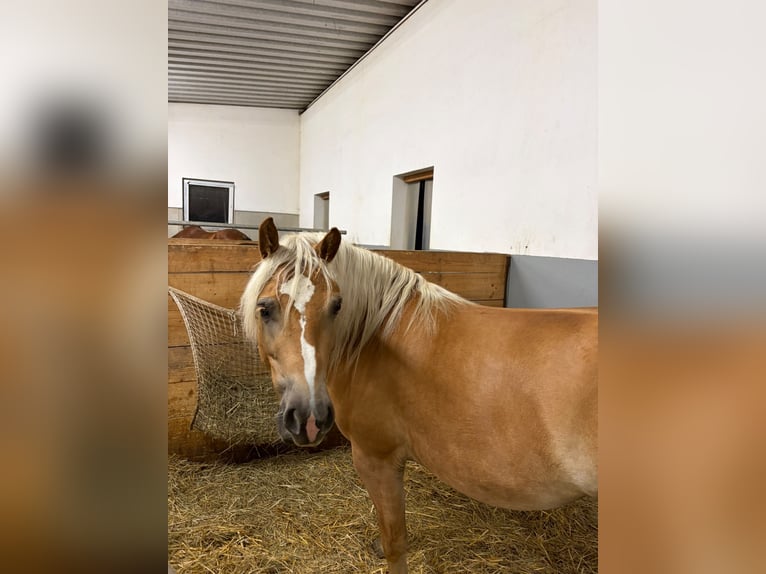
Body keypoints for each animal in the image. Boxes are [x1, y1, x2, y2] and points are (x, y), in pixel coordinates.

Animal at [240, 217, 598, 574]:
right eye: (265, 309)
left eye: (336, 306)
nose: (309, 418)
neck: (376, 337)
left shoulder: (377, 459)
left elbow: (395, 543)